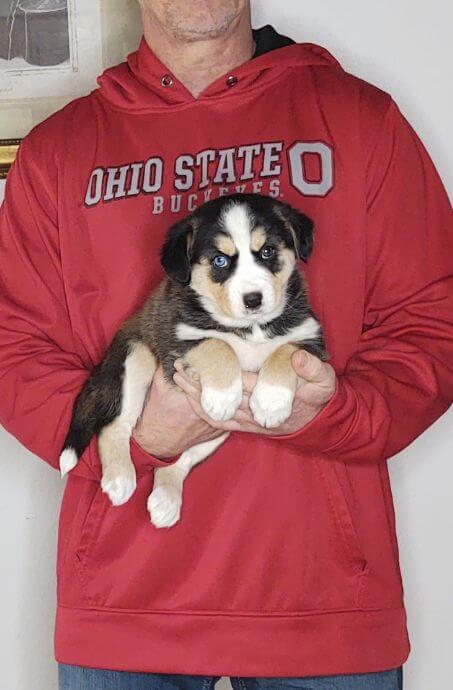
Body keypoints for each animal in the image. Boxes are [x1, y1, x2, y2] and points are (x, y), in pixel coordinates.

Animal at [60, 194, 324, 528]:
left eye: (268, 251)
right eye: (220, 261)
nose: (253, 300)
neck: (251, 327)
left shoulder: (311, 339)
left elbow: (284, 352)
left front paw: (270, 403)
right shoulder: (178, 339)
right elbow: (217, 345)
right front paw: (224, 397)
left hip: (219, 432)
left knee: (178, 460)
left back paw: (166, 499)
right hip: (135, 359)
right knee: (116, 425)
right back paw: (119, 479)